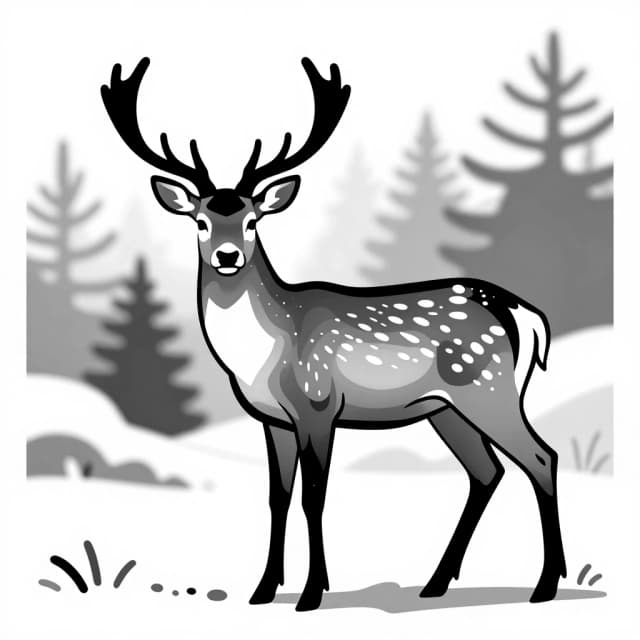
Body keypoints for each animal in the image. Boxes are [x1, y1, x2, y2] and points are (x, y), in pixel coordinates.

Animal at [101, 57, 566, 611]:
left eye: (253, 221)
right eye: (199, 221)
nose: (227, 256)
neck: (263, 353)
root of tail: (525, 311)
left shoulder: (318, 404)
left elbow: (314, 495)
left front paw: (311, 593)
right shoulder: (273, 419)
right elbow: (277, 495)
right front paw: (263, 590)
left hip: (489, 387)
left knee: (541, 457)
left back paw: (546, 585)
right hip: (447, 408)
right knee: (486, 471)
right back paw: (435, 582)